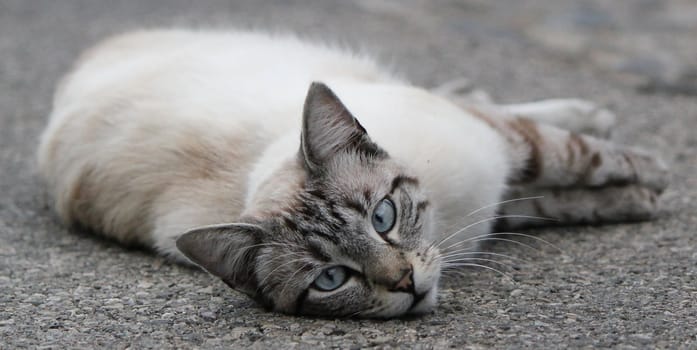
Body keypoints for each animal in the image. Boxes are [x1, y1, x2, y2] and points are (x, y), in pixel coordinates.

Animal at [35, 30, 668, 318]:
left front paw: (651, 176)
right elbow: (560, 194)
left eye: (383, 217)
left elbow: (575, 159)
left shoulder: (500, 147)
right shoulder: (501, 195)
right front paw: (636, 199)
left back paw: (587, 112)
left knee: (482, 102)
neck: (449, 225)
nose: (405, 283)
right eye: (331, 279)